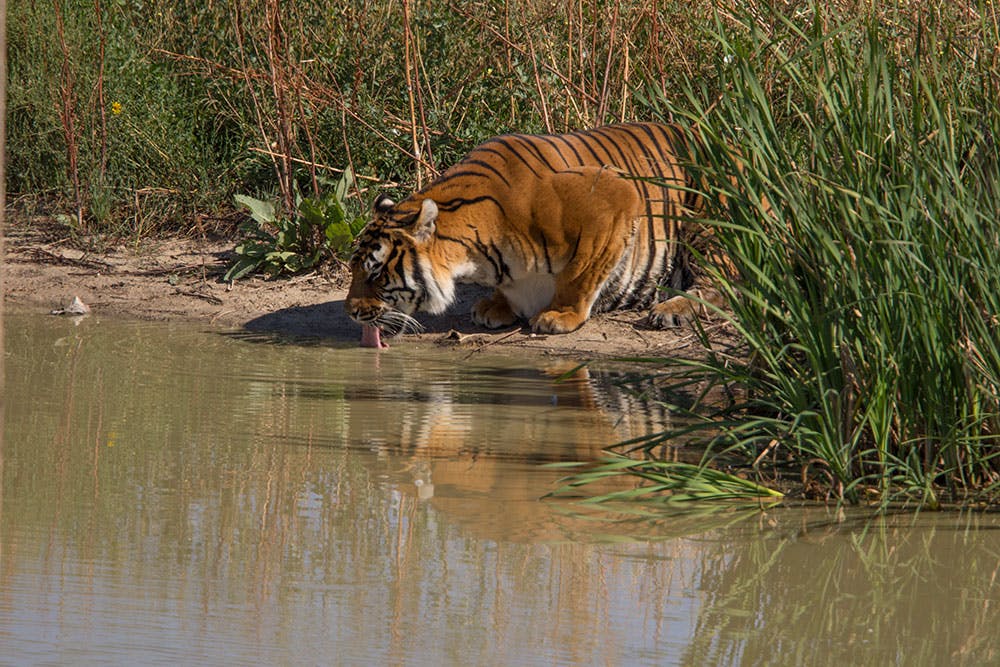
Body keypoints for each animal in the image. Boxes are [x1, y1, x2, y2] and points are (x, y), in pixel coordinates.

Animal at [348, 123, 732, 350]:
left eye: (376, 273)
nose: (350, 312)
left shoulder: (615, 194)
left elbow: (579, 274)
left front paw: (559, 315)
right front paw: (496, 306)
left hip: (708, 224)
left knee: (724, 285)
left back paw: (671, 309)